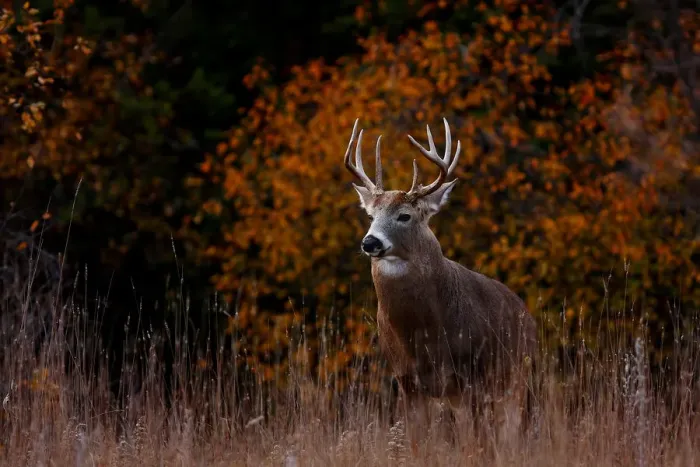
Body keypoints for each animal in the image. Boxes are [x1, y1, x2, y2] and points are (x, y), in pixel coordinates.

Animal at [342, 117, 538, 444]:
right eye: (370, 215)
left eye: (405, 215)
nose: (370, 242)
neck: (424, 332)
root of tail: (526, 311)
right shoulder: (407, 381)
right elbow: (419, 444)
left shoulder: (473, 375)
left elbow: (477, 444)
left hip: (517, 378)